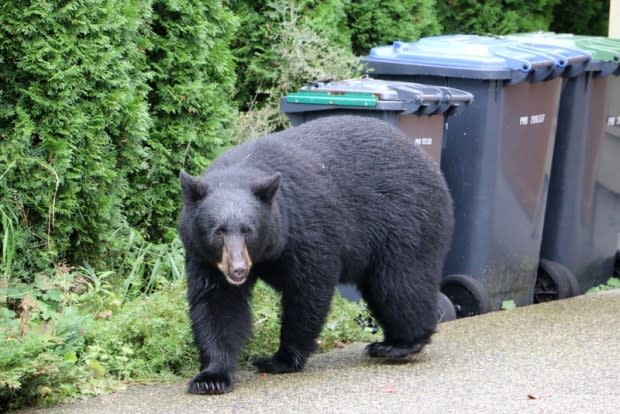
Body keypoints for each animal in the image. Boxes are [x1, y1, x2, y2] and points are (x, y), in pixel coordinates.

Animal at [177, 115, 452, 392]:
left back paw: (399, 345)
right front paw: (211, 377)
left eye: (248, 231)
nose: (238, 269)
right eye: (219, 232)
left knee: (400, 284)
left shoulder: (305, 229)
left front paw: (280, 359)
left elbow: (308, 288)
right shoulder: (204, 256)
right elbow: (218, 303)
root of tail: (430, 162)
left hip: (406, 221)